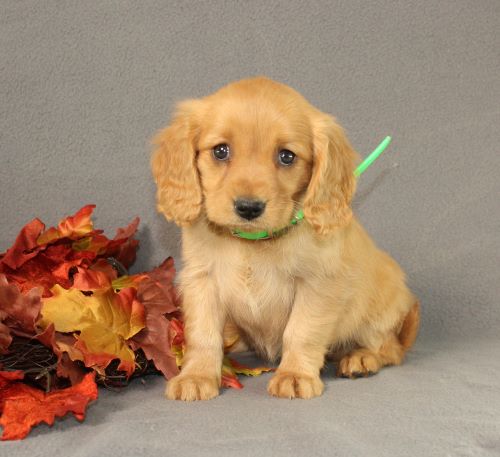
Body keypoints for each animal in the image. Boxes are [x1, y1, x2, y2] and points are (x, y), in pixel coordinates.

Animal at [151, 77, 418, 400]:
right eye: (220, 151)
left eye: (286, 156)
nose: (248, 208)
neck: (252, 243)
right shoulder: (202, 280)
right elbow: (203, 334)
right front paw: (196, 375)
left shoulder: (317, 285)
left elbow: (301, 332)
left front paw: (295, 374)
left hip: (378, 311)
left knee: (390, 348)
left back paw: (360, 358)